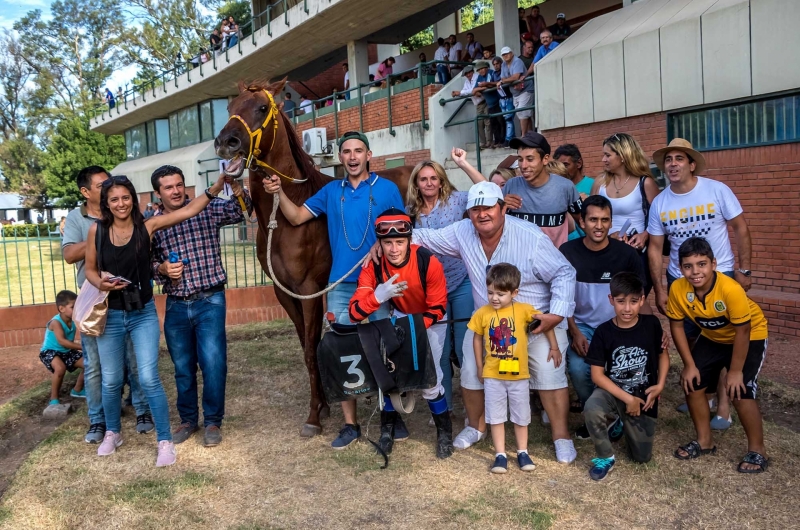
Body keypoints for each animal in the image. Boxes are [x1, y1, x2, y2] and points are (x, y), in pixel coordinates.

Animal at [214, 78, 412, 434]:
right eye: (229, 107)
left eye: (261, 108)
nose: (226, 142)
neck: (288, 219)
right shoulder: (285, 292)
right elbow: (305, 345)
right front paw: (322, 405)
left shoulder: (310, 289)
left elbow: (311, 347)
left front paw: (313, 416)